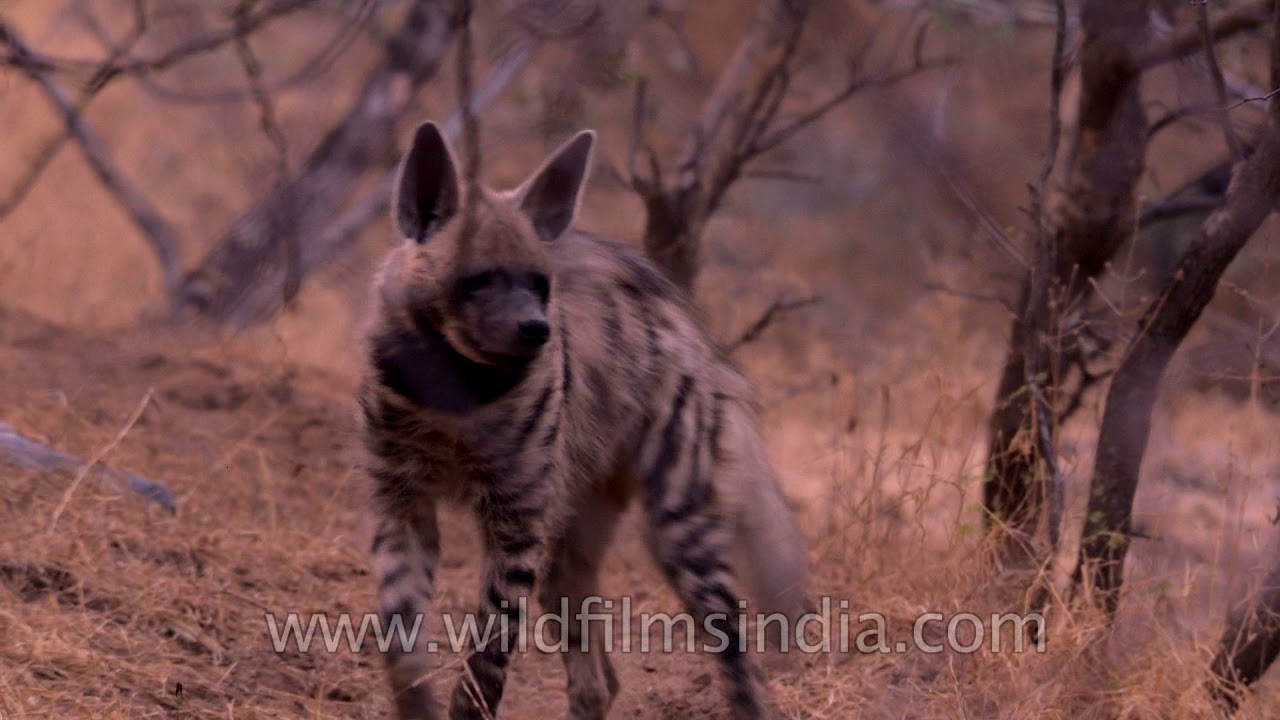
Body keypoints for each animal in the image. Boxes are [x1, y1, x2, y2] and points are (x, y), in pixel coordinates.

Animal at [359, 121, 808, 720]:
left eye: (538, 283)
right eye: (477, 281)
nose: (536, 329)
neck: (455, 396)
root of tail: (681, 320)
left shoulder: (517, 521)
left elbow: (488, 659)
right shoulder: (401, 504)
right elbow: (399, 643)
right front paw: (417, 703)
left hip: (679, 532)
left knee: (740, 662)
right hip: (571, 546)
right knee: (598, 677)